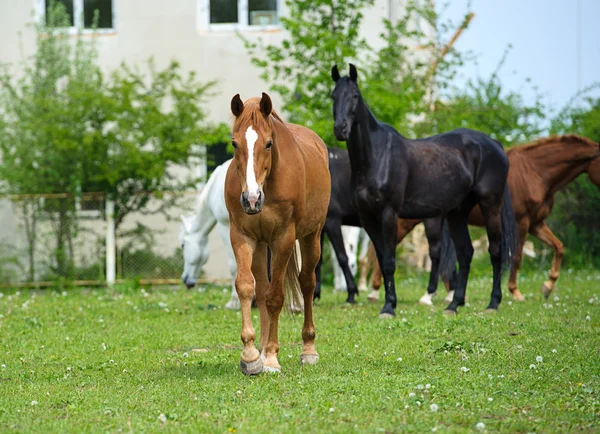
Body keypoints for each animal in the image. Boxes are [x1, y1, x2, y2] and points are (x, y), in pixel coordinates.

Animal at [225, 93, 330, 374]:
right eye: (234, 143)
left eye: (269, 143)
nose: (251, 199)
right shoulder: (242, 236)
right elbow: (247, 288)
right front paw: (251, 355)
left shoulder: (283, 239)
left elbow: (275, 297)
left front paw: (271, 357)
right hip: (262, 246)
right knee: (260, 290)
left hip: (311, 237)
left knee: (307, 283)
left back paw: (308, 349)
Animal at [314, 147, 454, 304]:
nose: (342, 289)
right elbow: (318, 261)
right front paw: (315, 294)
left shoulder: (332, 221)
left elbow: (342, 257)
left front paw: (351, 294)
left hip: (429, 221)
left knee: (436, 253)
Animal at [330, 63, 516, 316]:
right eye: (333, 96)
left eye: (355, 96)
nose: (340, 129)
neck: (377, 157)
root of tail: (495, 145)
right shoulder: (368, 218)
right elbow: (381, 258)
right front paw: (388, 302)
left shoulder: (389, 214)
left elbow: (389, 262)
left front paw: (388, 308)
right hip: (457, 212)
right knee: (465, 253)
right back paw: (454, 304)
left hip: (490, 205)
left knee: (495, 252)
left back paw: (493, 303)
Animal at [360, 135, 600, 302]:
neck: (535, 171)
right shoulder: (522, 223)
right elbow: (516, 256)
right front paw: (515, 292)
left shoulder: (536, 224)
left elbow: (559, 247)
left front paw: (547, 286)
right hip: (404, 221)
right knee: (377, 250)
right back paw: (374, 290)